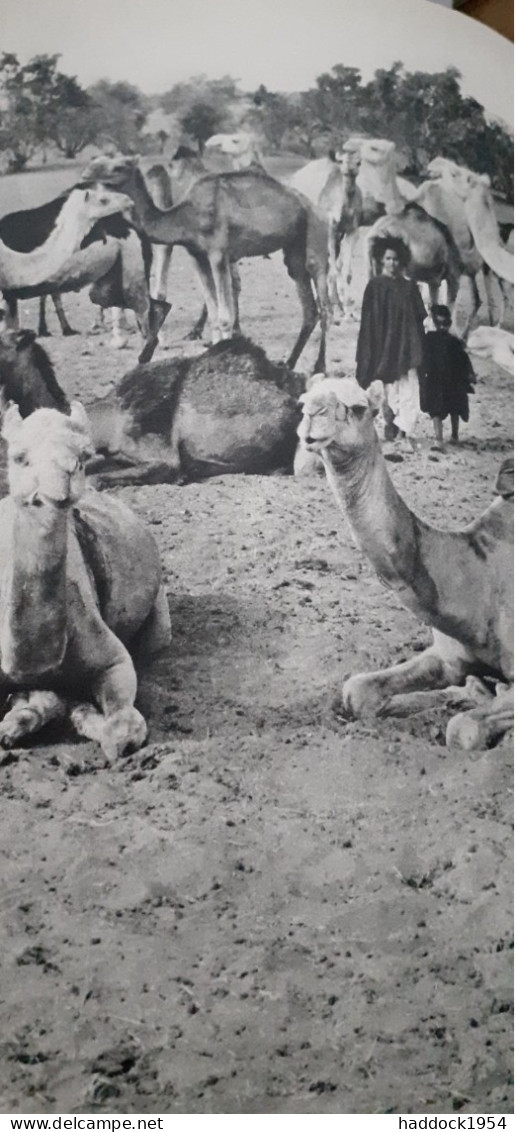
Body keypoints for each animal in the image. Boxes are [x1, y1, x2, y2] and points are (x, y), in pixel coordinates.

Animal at [82, 152, 328, 366]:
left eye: (118, 166)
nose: (86, 173)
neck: (186, 216)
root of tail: (311, 205)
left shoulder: (218, 253)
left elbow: (225, 316)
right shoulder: (197, 256)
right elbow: (213, 314)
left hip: (315, 236)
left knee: (323, 304)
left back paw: (319, 368)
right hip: (294, 251)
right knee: (309, 309)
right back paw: (289, 364)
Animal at [296, 373, 513, 751]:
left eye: (357, 407)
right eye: (303, 400)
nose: (312, 415)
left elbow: (463, 731)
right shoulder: (448, 655)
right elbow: (356, 691)